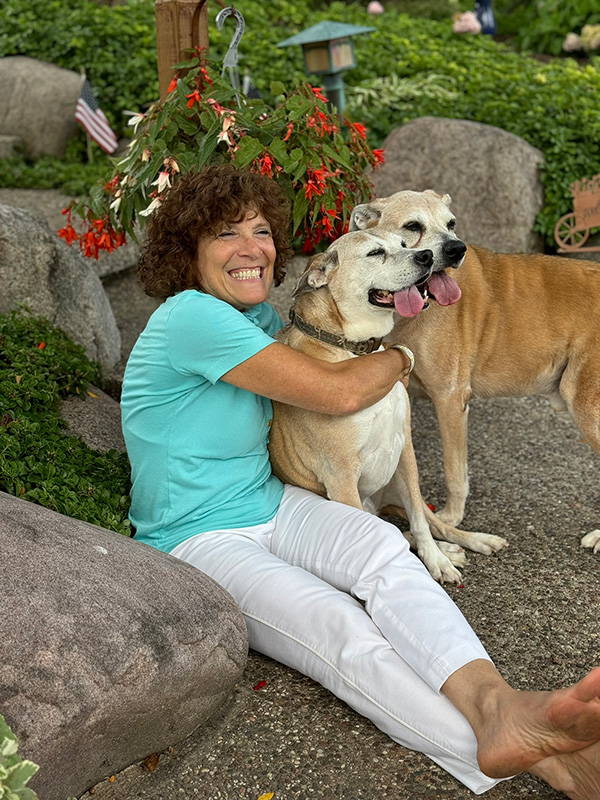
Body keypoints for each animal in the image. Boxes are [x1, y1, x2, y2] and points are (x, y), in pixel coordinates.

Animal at [270, 227, 508, 580]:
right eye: (374, 253)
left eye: (404, 244)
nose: (426, 256)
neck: (357, 352)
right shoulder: (341, 479)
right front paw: (437, 559)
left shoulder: (405, 450)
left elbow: (421, 524)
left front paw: (437, 560)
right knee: (396, 531)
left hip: (402, 488)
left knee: (433, 524)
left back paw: (471, 542)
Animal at [350, 189, 600, 552]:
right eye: (412, 226)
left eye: (451, 223)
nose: (457, 249)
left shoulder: (450, 399)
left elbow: (455, 473)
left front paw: (451, 520)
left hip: (588, 409)